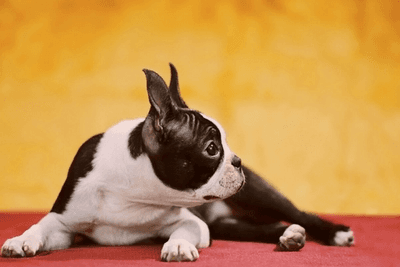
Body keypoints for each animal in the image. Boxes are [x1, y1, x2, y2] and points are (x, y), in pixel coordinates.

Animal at [1, 64, 354, 262]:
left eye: (224, 145)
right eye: (212, 149)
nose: (237, 160)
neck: (131, 195)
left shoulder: (193, 223)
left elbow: (183, 231)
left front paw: (179, 247)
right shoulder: (63, 221)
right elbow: (39, 226)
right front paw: (20, 241)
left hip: (257, 193)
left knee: (297, 213)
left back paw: (332, 232)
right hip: (224, 222)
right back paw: (288, 237)